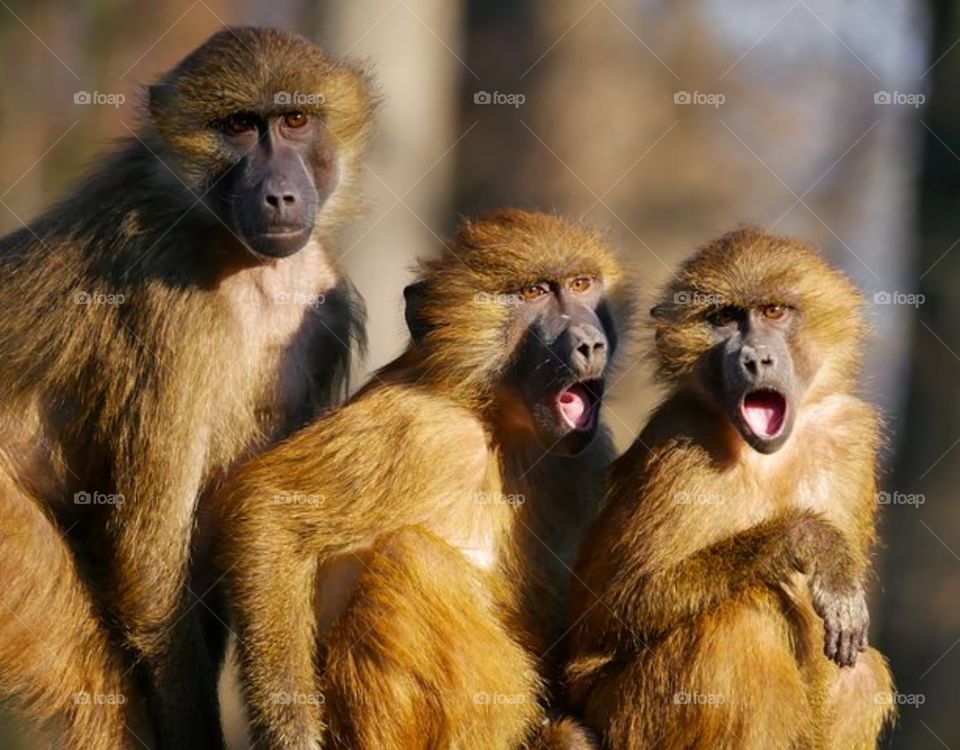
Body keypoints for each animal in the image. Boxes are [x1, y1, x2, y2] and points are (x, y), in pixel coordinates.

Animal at [0, 27, 375, 749]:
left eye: (294, 120)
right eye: (238, 127)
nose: (279, 196)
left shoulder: (325, 315)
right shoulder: (171, 305)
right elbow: (151, 562)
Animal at [212, 208, 634, 749]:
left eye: (582, 285)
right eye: (534, 292)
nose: (589, 342)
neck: (496, 421)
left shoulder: (587, 455)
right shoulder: (420, 426)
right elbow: (269, 509)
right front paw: (293, 735)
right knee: (410, 558)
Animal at [564, 227, 895, 749]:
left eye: (774, 311)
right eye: (724, 319)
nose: (755, 359)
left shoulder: (848, 436)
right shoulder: (680, 446)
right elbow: (615, 607)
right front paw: (810, 542)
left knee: (860, 674)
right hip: (625, 716)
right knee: (742, 621)